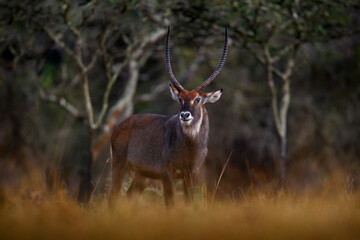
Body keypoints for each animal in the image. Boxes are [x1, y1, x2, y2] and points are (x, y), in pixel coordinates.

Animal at [109, 25, 228, 206]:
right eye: (180, 98)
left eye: (198, 99)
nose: (185, 114)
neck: (189, 147)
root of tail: (120, 126)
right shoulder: (167, 173)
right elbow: (170, 203)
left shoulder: (192, 174)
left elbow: (189, 202)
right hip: (119, 165)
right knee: (113, 196)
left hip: (142, 175)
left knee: (129, 194)